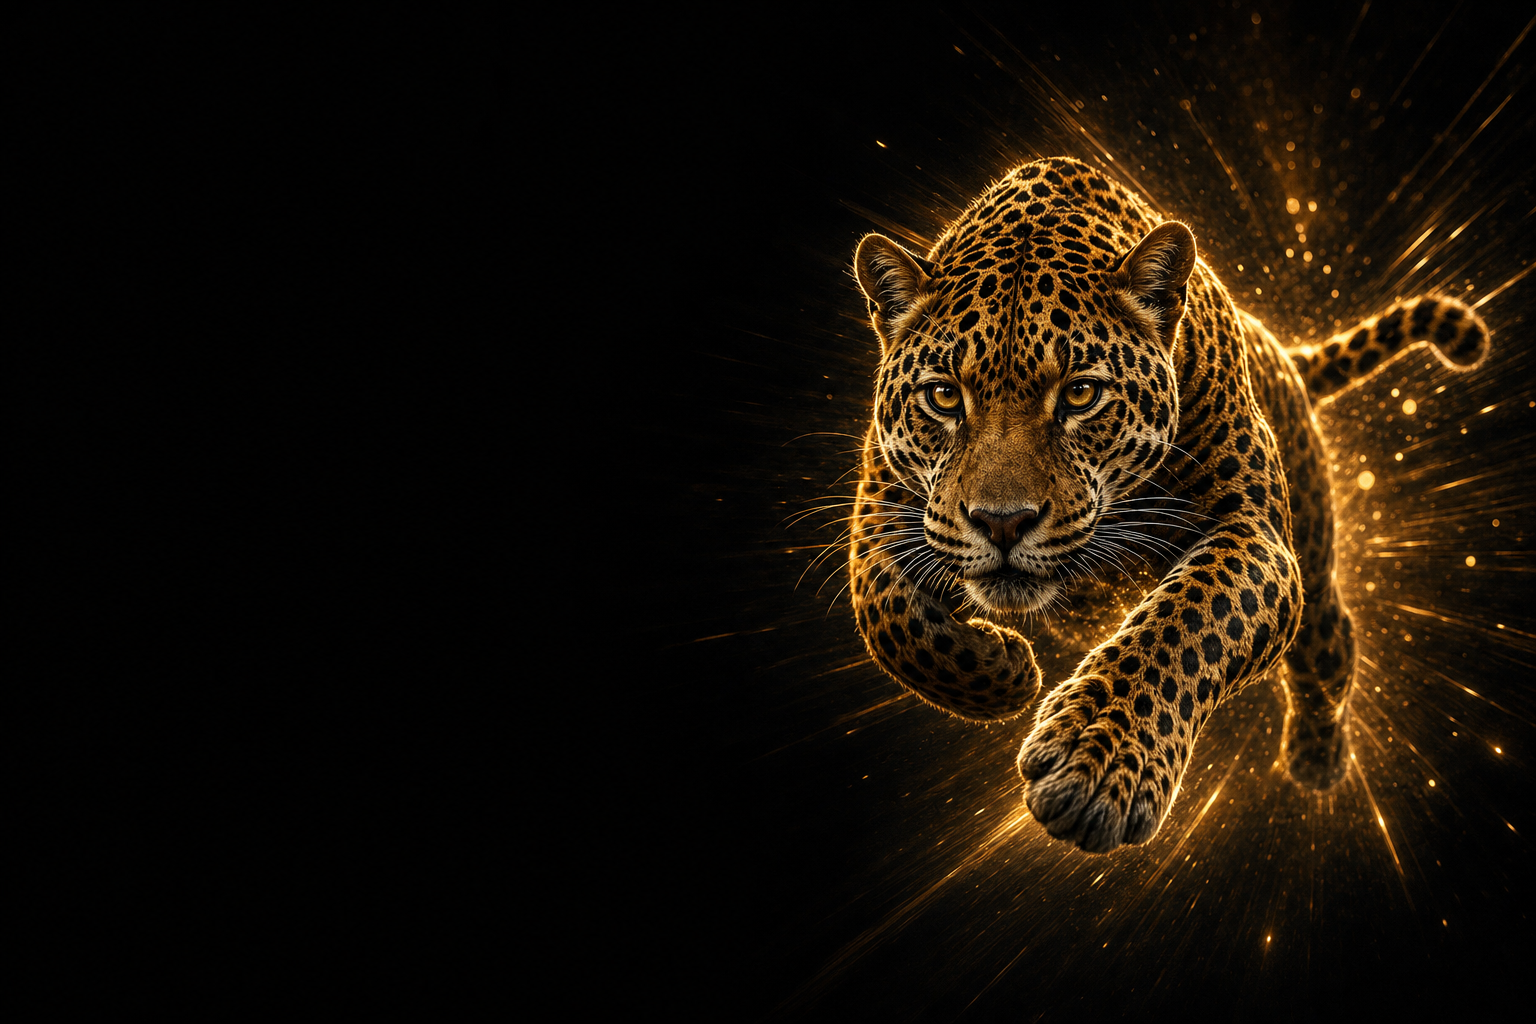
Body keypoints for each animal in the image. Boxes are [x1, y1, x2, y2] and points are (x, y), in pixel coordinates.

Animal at [845, 156, 1490, 854]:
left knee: (1331, 643)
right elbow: (888, 617)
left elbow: (1186, 620)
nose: (1002, 523)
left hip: (1313, 545)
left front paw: (1095, 763)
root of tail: (1283, 354)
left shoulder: (1250, 529)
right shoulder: (880, 511)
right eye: (942, 396)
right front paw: (1004, 668)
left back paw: (1316, 760)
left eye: (1080, 394)